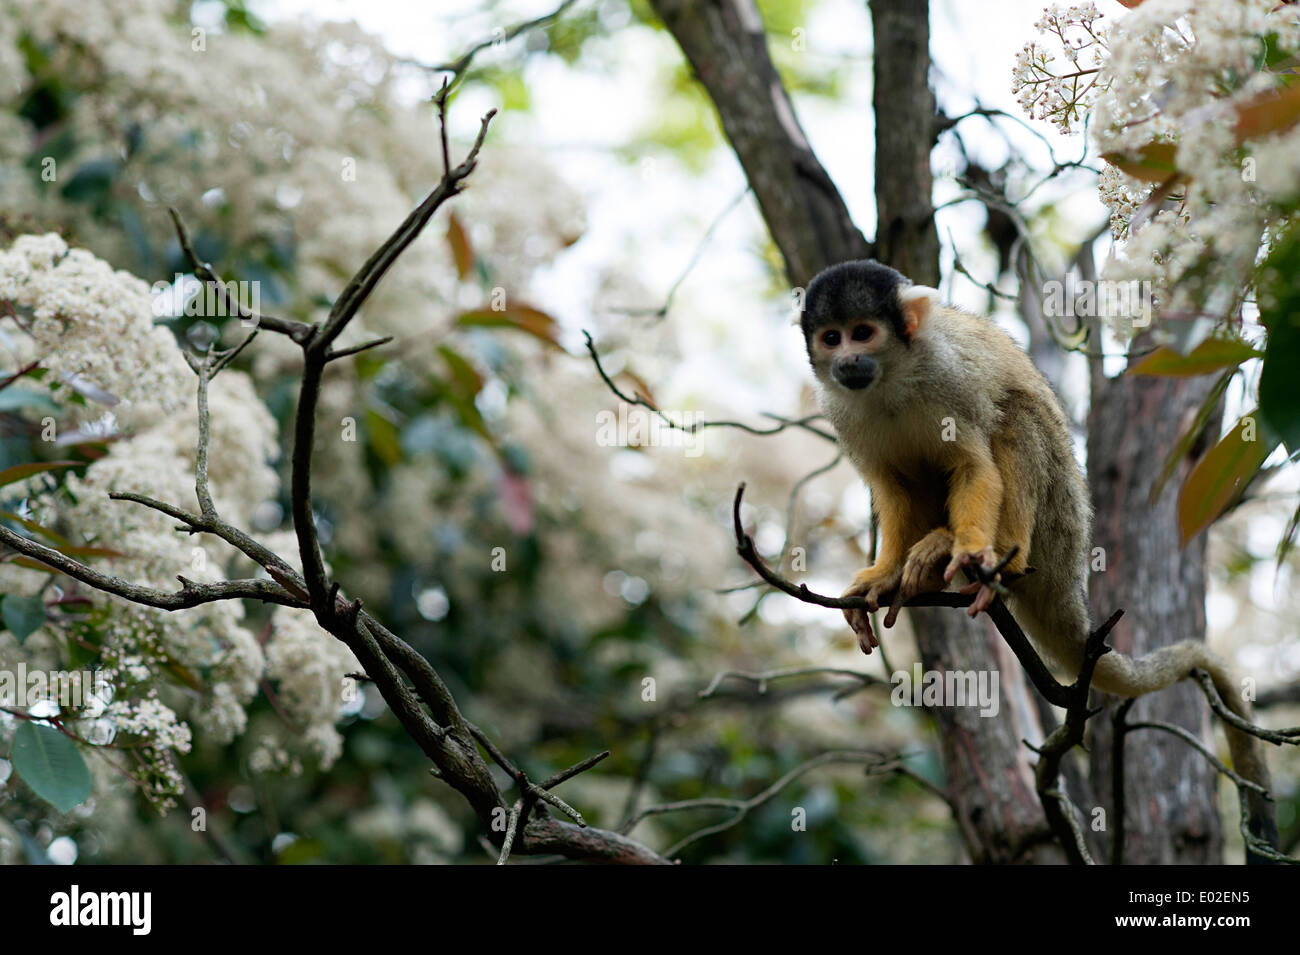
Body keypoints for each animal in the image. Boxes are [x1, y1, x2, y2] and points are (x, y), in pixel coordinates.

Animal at [795, 259, 1274, 852]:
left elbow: (974, 464)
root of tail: (1072, 578)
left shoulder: (946, 378)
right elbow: (894, 489)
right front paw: (882, 577)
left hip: (1061, 521)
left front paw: (966, 548)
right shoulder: (843, 409)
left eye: (863, 332)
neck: (889, 380)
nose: (847, 360)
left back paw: (993, 558)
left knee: (1016, 415)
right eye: (831, 337)